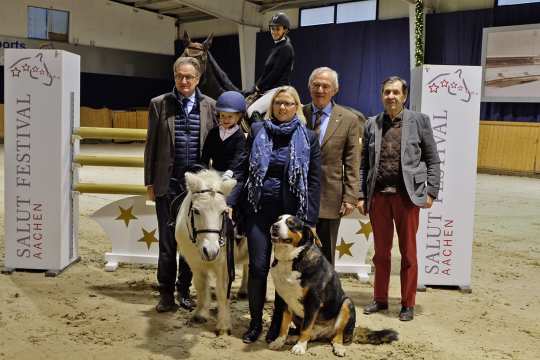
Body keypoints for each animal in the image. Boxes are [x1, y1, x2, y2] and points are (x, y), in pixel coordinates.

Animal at [176, 169, 248, 334]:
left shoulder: (223, 264)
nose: (211, 251)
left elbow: (222, 290)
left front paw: (223, 325)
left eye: (223, 212)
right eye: (196, 211)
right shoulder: (194, 263)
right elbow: (200, 285)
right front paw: (200, 314)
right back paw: (243, 290)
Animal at [268, 215, 396, 356]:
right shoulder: (285, 299)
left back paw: (338, 347)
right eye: (278, 219)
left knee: (336, 335)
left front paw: (300, 346)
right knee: (311, 334)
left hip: (347, 304)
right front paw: (279, 341)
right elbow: (284, 325)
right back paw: (293, 338)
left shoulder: (313, 301)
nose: (274, 226)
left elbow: (306, 327)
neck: (292, 259)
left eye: (291, 223)